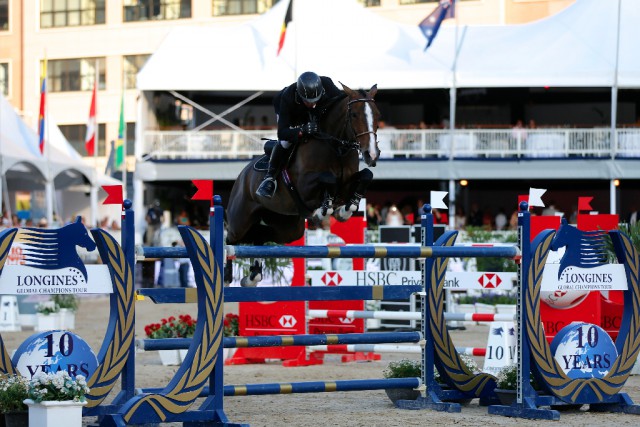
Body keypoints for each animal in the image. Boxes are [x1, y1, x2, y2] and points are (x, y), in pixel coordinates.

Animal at [226, 83, 380, 284]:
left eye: (377, 115)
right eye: (354, 114)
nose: (371, 154)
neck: (336, 148)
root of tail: (242, 176)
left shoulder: (347, 184)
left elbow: (366, 175)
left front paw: (345, 210)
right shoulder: (305, 188)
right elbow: (328, 179)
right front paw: (324, 210)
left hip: (288, 226)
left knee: (260, 235)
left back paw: (253, 276)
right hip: (240, 219)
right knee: (230, 239)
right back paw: (227, 275)